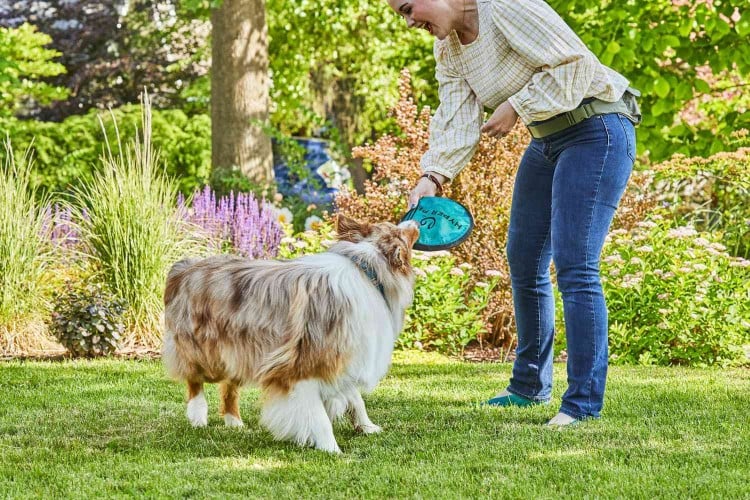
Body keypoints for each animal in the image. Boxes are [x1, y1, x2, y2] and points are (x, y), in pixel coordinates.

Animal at [164, 215, 420, 454]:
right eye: (399, 231)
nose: (415, 222)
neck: (367, 270)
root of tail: (186, 266)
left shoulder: (341, 356)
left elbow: (355, 398)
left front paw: (366, 427)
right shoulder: (304, 363)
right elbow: (319, 415)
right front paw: (331, 449)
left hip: (241, 349)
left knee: (229, 386)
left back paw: (234, 421)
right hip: (206, 348)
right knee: (195, 379)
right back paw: (198, 415)